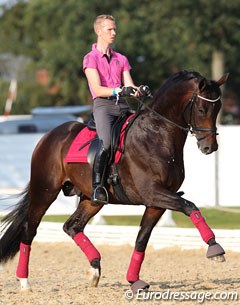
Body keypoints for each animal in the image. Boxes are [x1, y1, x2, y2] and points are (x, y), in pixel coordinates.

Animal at [0, 69, 229, 292]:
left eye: (218, 108)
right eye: (202, 110)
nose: (210, 147)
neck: (156, 135)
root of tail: (49, 137)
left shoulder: (157, 202)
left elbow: (142, 239)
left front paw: (134, 281)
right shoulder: (154, 193)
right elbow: (190, 206)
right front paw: (215, 249)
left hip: (91, 199)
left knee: (72, 226)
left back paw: (94, 270)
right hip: (45, 191)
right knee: (30, 230)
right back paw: (24, 283)